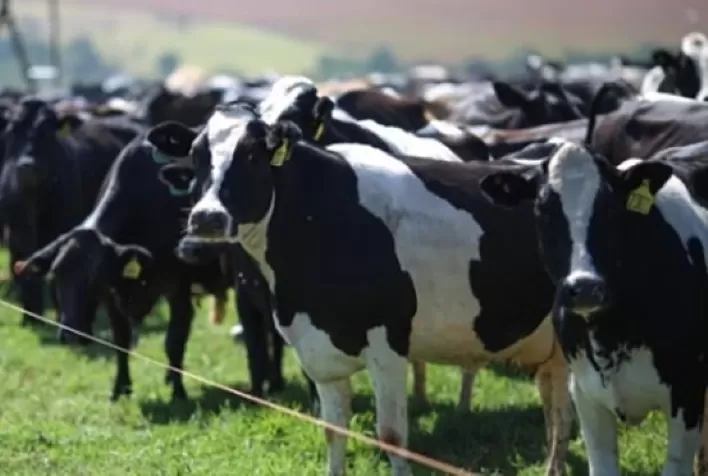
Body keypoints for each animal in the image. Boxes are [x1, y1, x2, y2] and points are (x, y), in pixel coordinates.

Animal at [0, 97, 143, 327]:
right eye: (13, 129)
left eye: (48, 131)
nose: (27, 166)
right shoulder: (16, 234)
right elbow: (23, 273)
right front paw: (31, 318)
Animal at [11, 122, 239, 401]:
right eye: (56, 276)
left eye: (94, 277)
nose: (71, 335)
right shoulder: (112, 296)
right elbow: (120, 341)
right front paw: (120, 389)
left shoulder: (178, 289)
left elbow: (174, 341)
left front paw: (178, 391)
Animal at [170, 106, 572, 476]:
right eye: (196, 156)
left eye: (252, 154)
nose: (206, 217)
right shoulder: (317, 351)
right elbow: (333, 431)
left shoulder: (388, 344)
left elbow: (391, 436)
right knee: (556, 412)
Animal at [478, 139, 708, 476]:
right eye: (542, 210)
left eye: (611, 209)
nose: (585, 287)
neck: (612, 332)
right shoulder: (586, 394)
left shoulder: (687, 392)